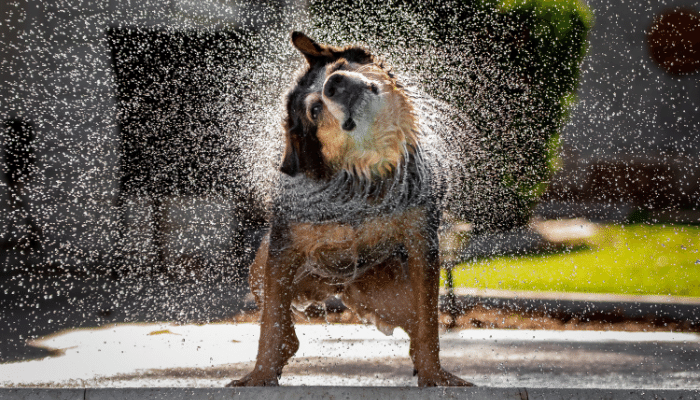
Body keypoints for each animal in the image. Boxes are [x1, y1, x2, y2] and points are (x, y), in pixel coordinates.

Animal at [227, 32, 474, 388]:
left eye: (339, 67)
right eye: (315, 109)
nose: (334, 83)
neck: (363, 177)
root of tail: (338, 287)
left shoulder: (422, 243)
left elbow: (429, 324)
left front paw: (434, 377)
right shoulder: (282, 249)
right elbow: (271, 324)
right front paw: (260, 376)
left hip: (391, 297)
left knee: (416, 328)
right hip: (260, 270)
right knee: (282, 325)